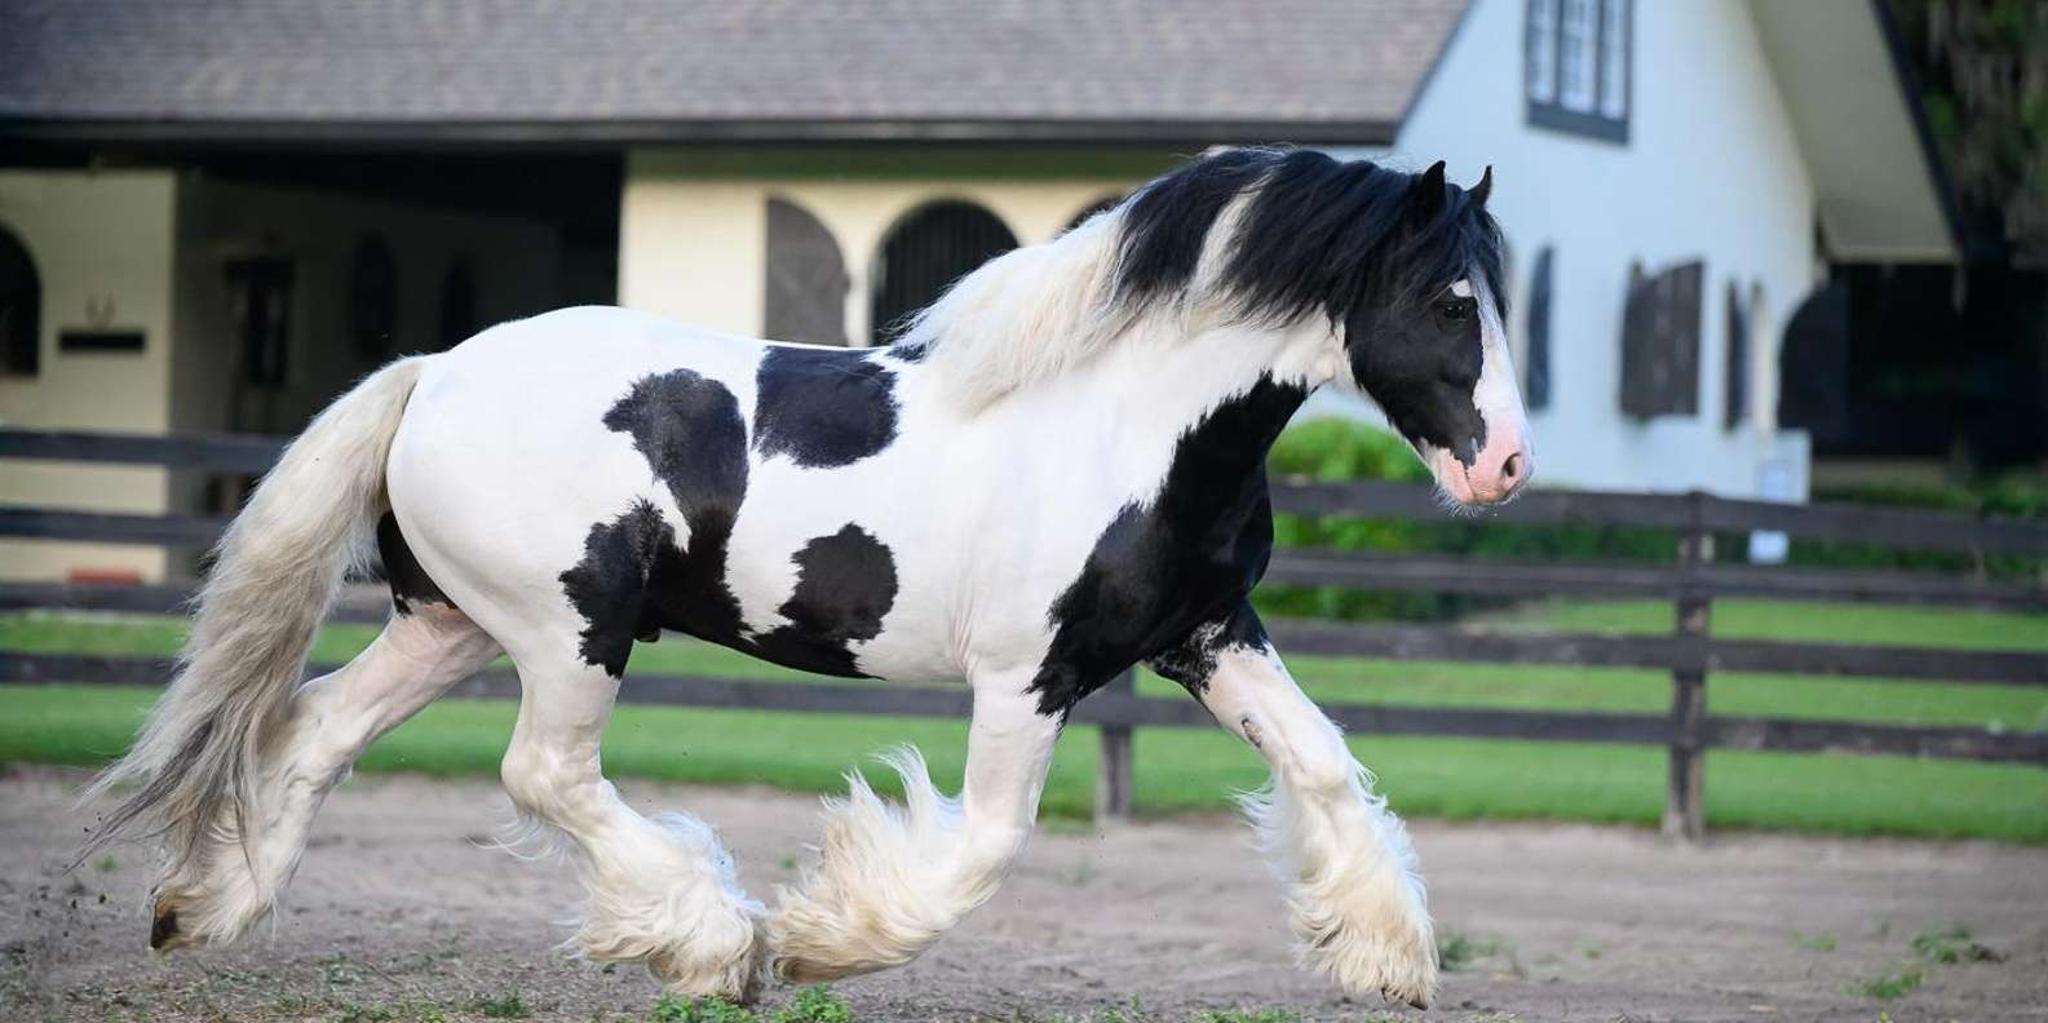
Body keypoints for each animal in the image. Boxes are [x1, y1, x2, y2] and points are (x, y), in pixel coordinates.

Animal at [81, 147, 1529, 1009]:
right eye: (1450, 302)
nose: (1505, 466)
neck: (1124, 426)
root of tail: (431, 370)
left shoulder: (1210, 635)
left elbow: (1324, 763)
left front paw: (1384, 953)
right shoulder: (1027, 675)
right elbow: (985, 841)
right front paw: (821, 936)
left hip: (452, 625)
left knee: (312, 728)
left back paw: (201, 911)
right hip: (569, 629)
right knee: (543, 773)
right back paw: (713, 943)